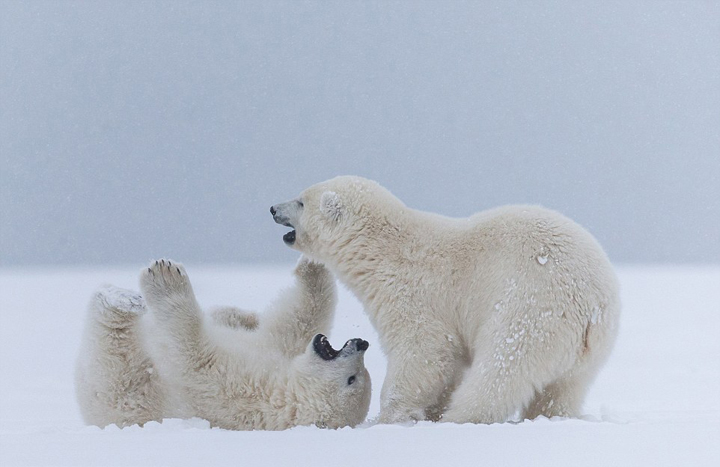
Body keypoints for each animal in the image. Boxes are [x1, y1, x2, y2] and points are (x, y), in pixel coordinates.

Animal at [74, 258, 372, 430]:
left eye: (352, 379)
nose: (362, 343)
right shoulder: (278, 352)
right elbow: (295, 321)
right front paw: (311, 264)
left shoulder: (240, 391)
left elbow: (195, 356)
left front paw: (166, 276)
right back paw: (240, 315)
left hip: (113, 381)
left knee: (111, 339)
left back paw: (123, 301)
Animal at [270, 176, 620, 424]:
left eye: (301, 201)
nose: (273, 209)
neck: (380, 251)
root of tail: (594, 304)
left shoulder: (412, 292)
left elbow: (424, 353)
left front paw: (391, 416)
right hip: (587, 352)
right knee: (563, 389)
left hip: (530, 309)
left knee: (501, 370)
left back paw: (459, 417)